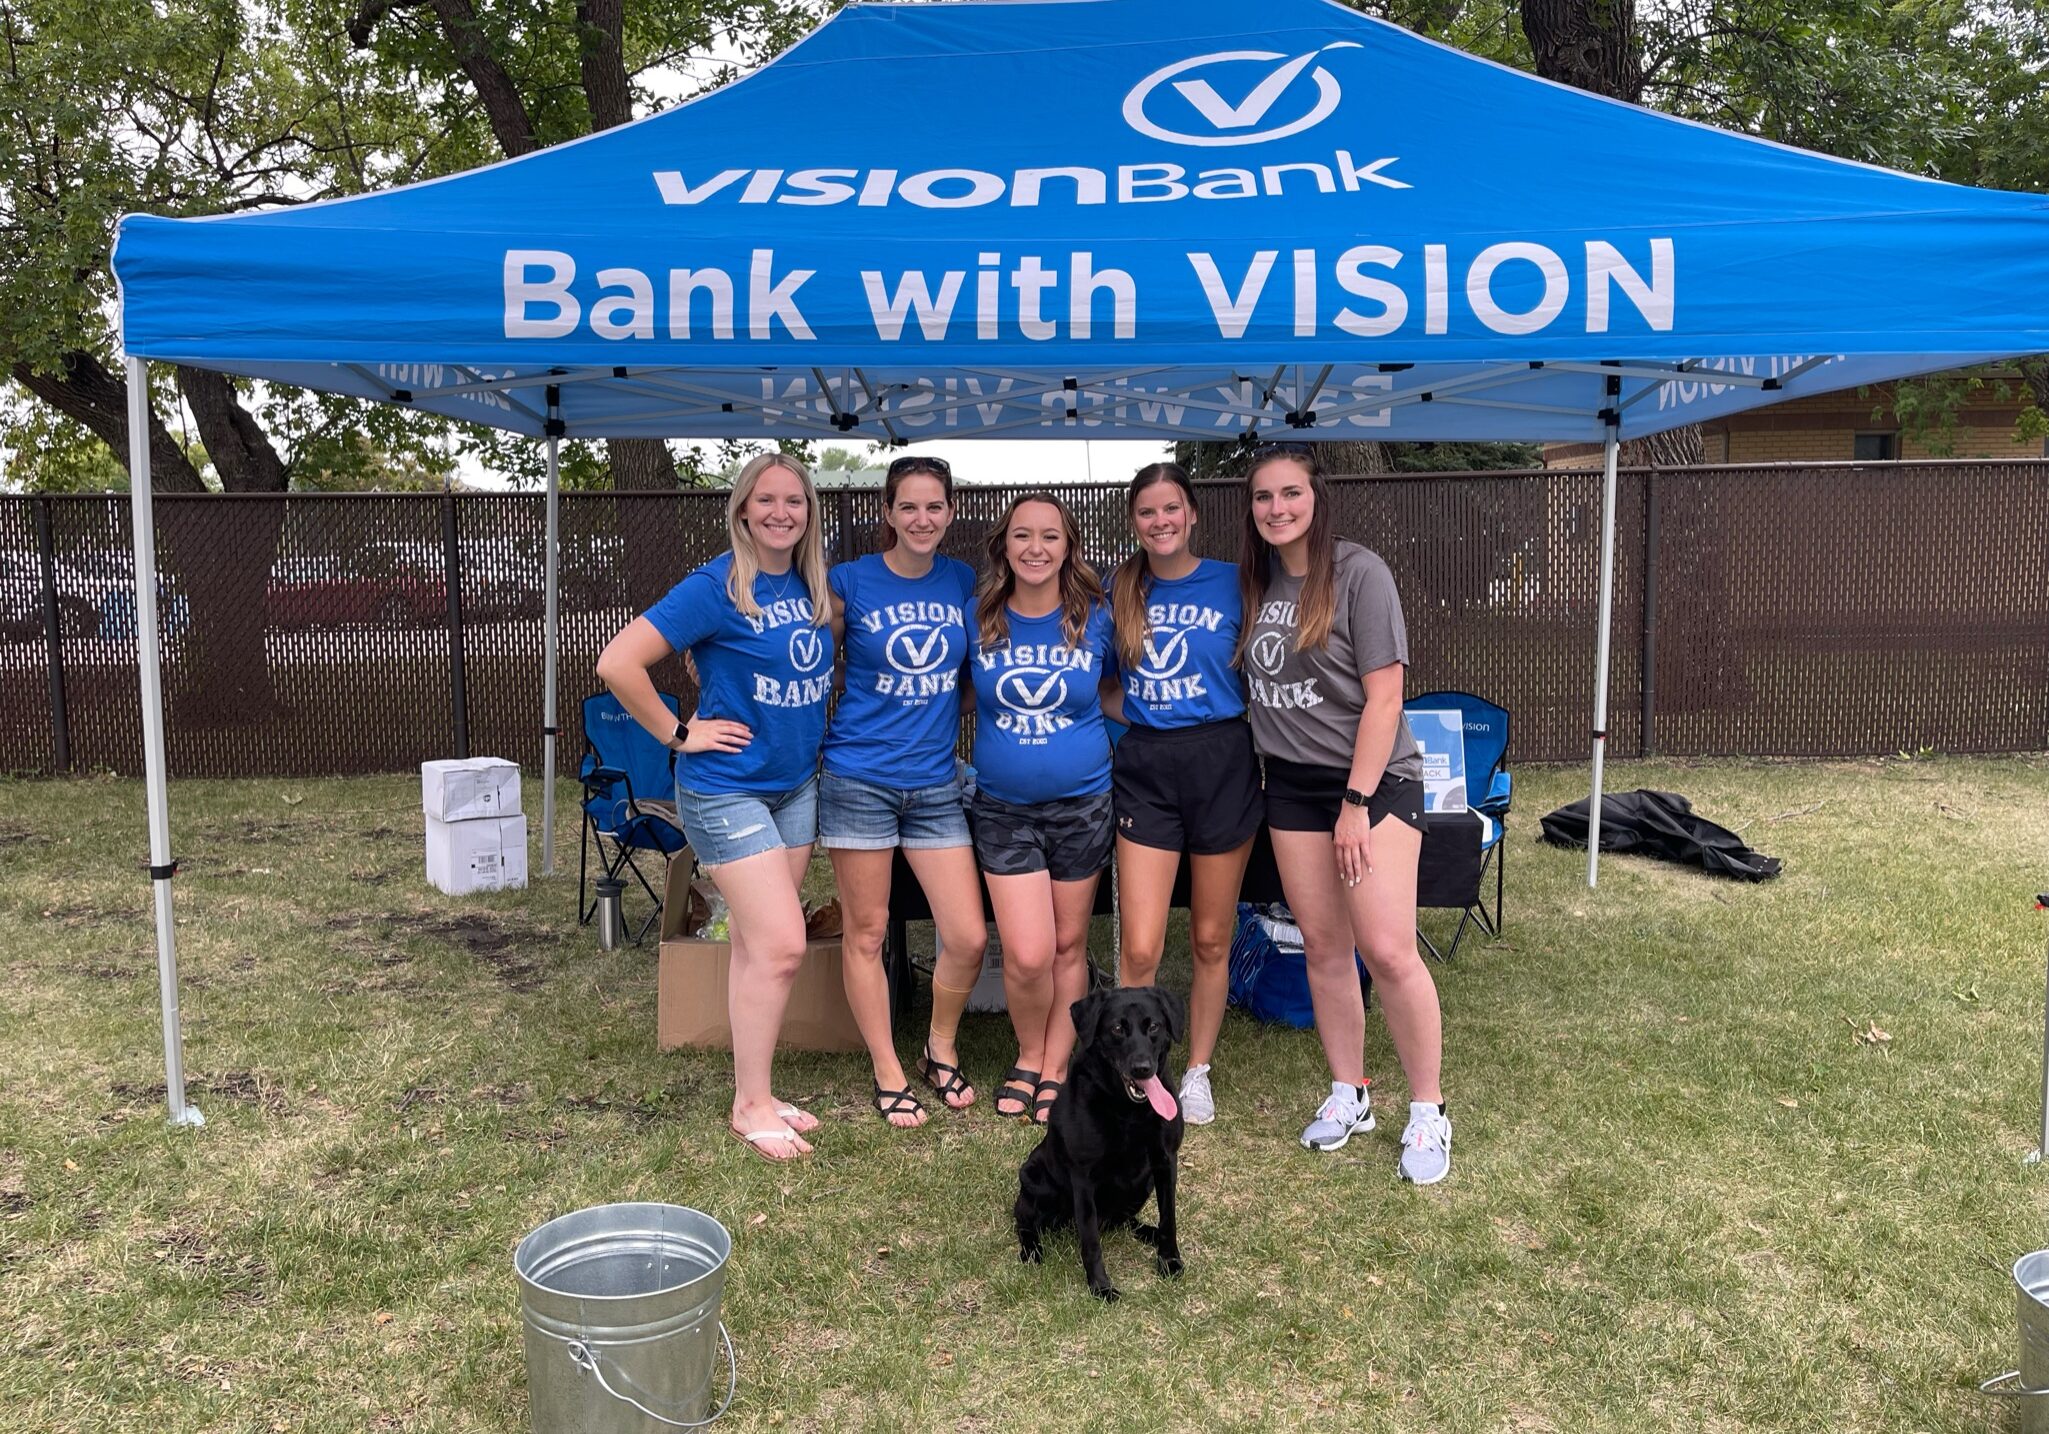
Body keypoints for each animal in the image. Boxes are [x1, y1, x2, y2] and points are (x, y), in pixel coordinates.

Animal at [1020, 987, 1196, 1302]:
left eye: (1154, 1026)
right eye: (1117, 1028)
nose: (1142, 1068)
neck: (1128, 1110)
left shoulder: (1166, 1162)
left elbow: (1169, 1218)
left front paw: (1169, 1259)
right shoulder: (1083, 1177)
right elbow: (1090, 1240)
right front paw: (1100, 1286)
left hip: (1143, 1184)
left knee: (1125, 1220)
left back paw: (1149, 1233)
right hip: (1034, 1178)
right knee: (1025, 1221)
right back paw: (1031, 1250)